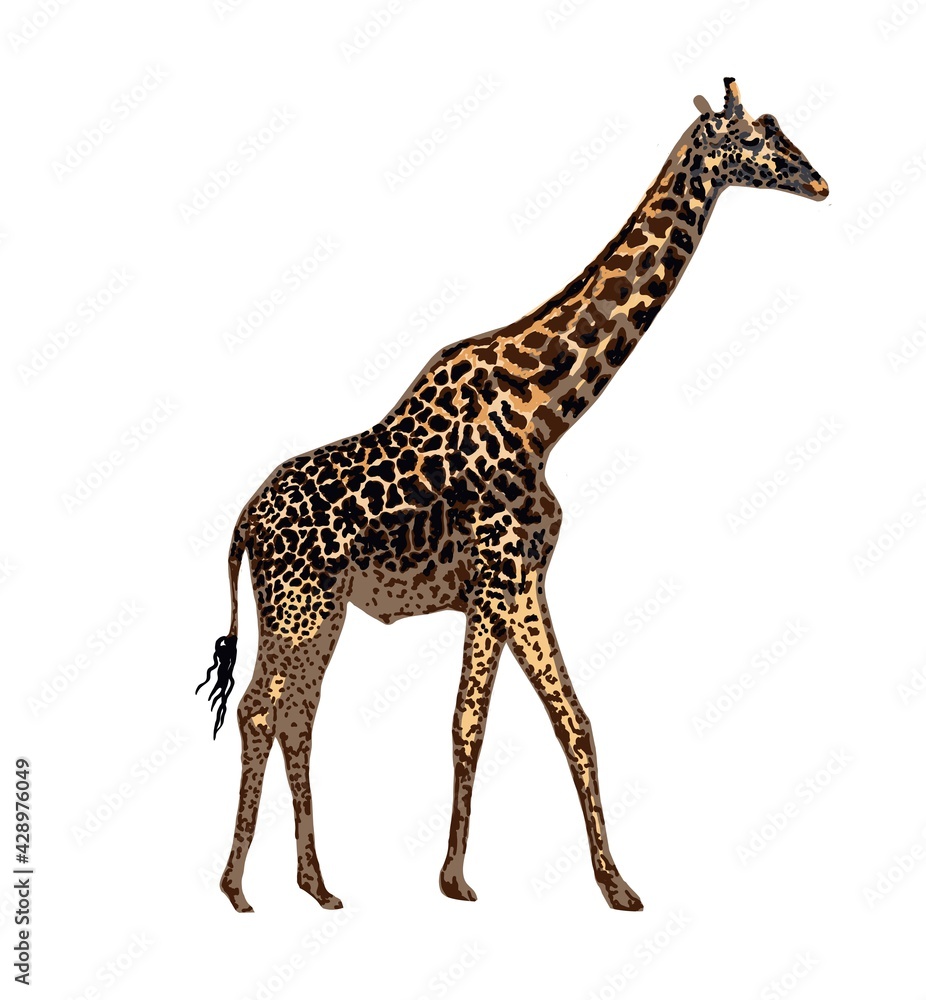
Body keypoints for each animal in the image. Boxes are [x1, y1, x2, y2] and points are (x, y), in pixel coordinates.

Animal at [197, 78, 828, 913]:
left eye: (780, 130)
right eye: (759, 138)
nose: (819, 182)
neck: (547, 413)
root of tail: (241, 524)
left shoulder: (522, 579)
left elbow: (567, 721)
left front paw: (612, 885)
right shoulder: (496, 573)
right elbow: (475, 721)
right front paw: (460, 878)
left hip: (318, 609)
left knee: (294, 713)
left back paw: (316, 884)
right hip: (300, 604)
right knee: (261, 708)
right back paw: (238, 887)